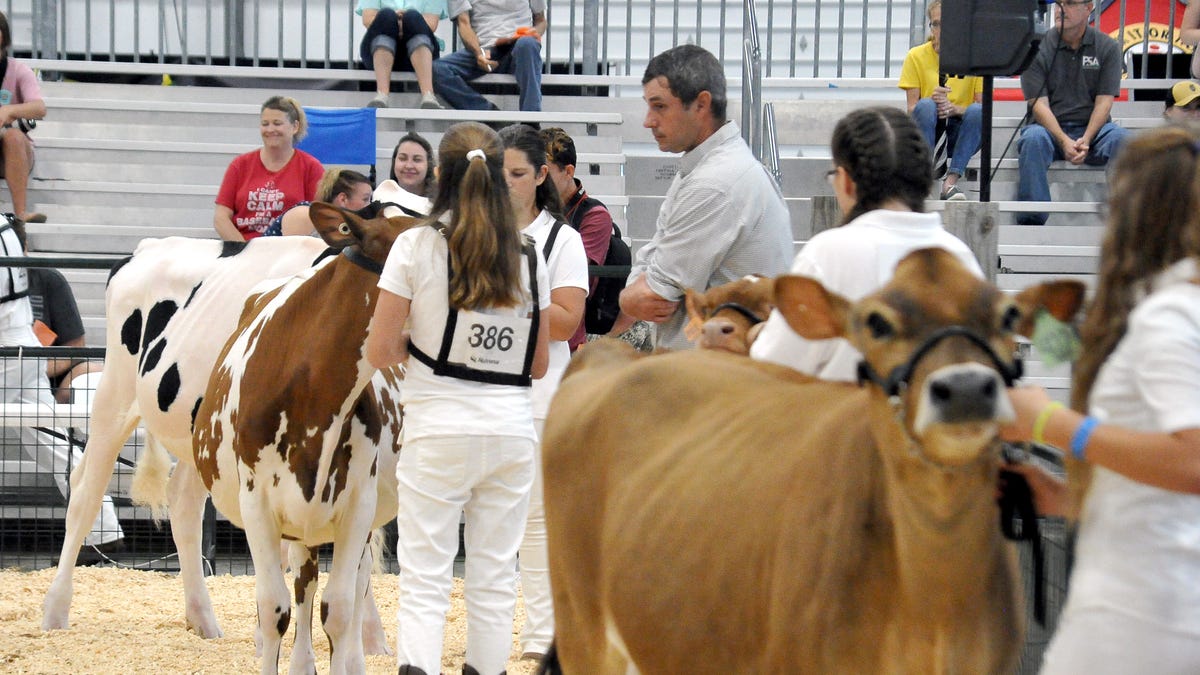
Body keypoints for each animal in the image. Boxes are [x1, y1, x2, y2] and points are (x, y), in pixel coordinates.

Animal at [194, 204, 420, 672]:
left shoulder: (358, 505)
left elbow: (340, 609)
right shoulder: (257, 504)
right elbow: (273, 609)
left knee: (351, 591)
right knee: (301, 587)